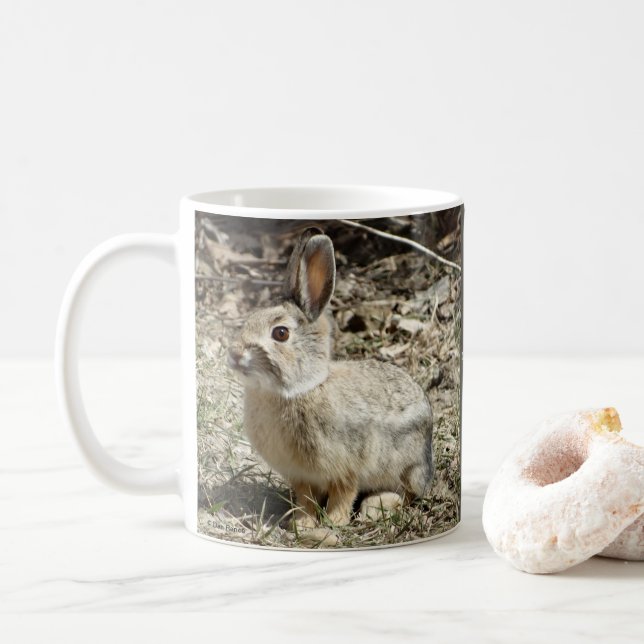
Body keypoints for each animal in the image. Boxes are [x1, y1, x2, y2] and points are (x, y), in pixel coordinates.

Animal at [228, 227, 434, 528]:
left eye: (280, 333)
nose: (234, 354)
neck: (300, 389)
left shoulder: (347, 466)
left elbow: (344, 493)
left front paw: (335, 522)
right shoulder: (301, 476)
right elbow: (306, 498)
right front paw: (302, 523)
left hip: (406, 465)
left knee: (406, 493)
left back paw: (376, 507)